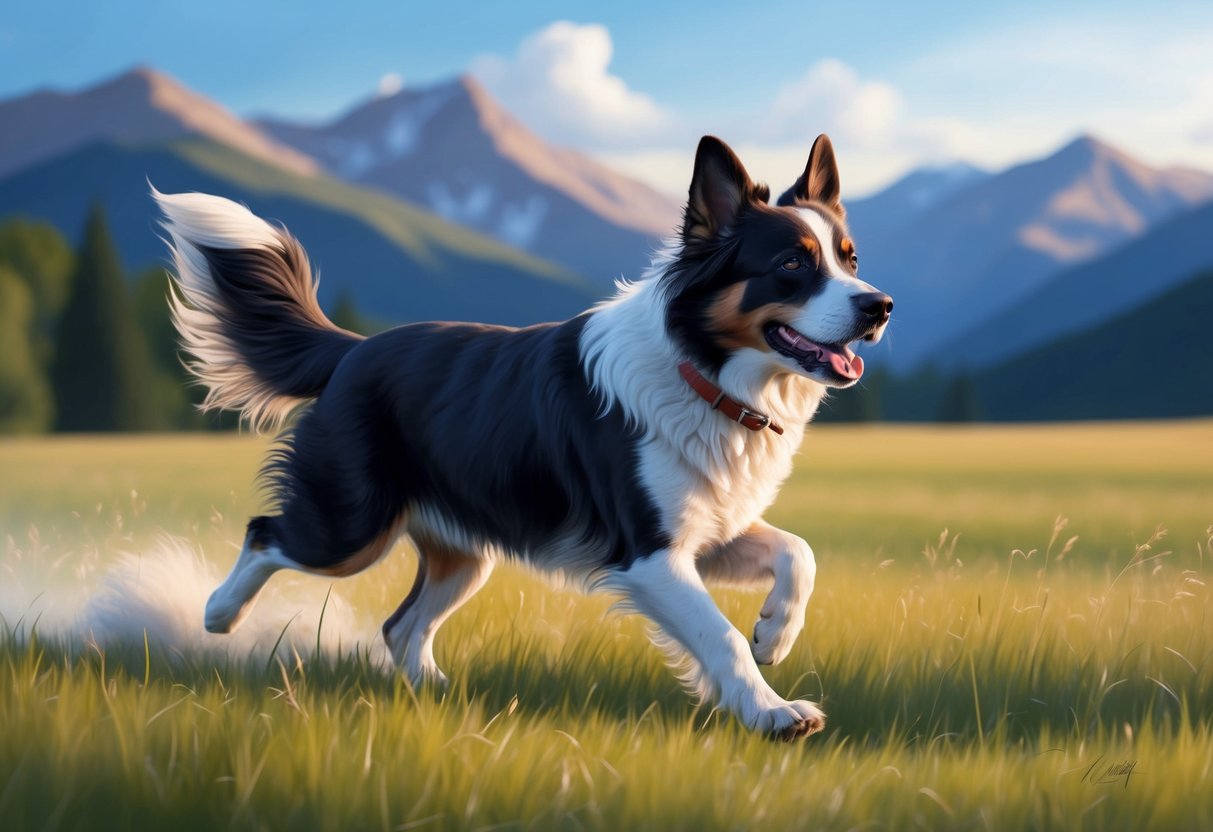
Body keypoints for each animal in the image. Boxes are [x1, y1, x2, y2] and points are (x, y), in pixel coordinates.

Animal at [154, 135, 892, 742]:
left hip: (463, 553)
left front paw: (776, 634)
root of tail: (353, 349)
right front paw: (773, 712)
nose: (879, 305)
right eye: (791, 265)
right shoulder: (648, 552)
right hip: (350, 527)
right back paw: (217, 613)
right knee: (266, 534)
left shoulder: (706, 532)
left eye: (850, 259)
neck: (705, 373)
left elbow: (797, 552)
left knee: (401, 626)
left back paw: (442, 699)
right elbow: (721, 636)